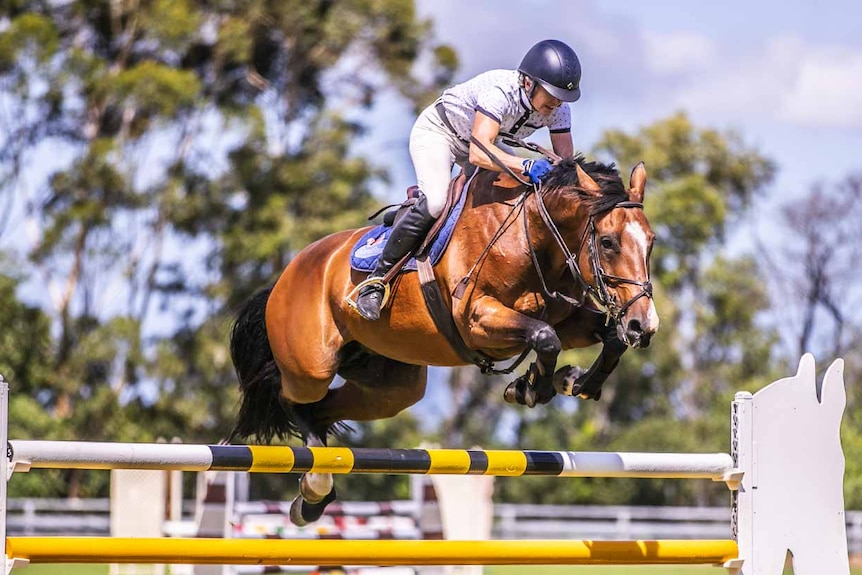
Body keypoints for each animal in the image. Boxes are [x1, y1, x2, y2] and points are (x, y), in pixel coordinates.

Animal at [226, 156, 660, 528]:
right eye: (607, 242)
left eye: (651, 241)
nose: (645, 325)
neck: (533, 238)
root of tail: (288, 273)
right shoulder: (478, 321)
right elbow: (544, 337)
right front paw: (530, 389)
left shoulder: (569, 318)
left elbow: (608, 338)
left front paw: (575, 382)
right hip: (311, 366)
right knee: (293, 398)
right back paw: (315, 484)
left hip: (391, 387)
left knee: (326, 409)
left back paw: (313, 497)